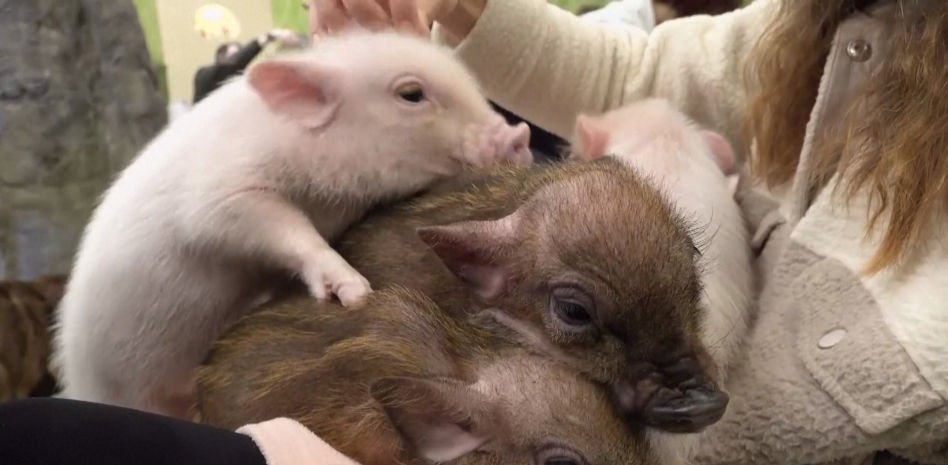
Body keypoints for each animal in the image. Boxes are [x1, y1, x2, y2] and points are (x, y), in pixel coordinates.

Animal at [51, 30, 533, 419]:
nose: (520, 135)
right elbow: (276, 227)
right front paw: (353, 291)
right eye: (411, 94)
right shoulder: (221, 194)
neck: (326, 194)